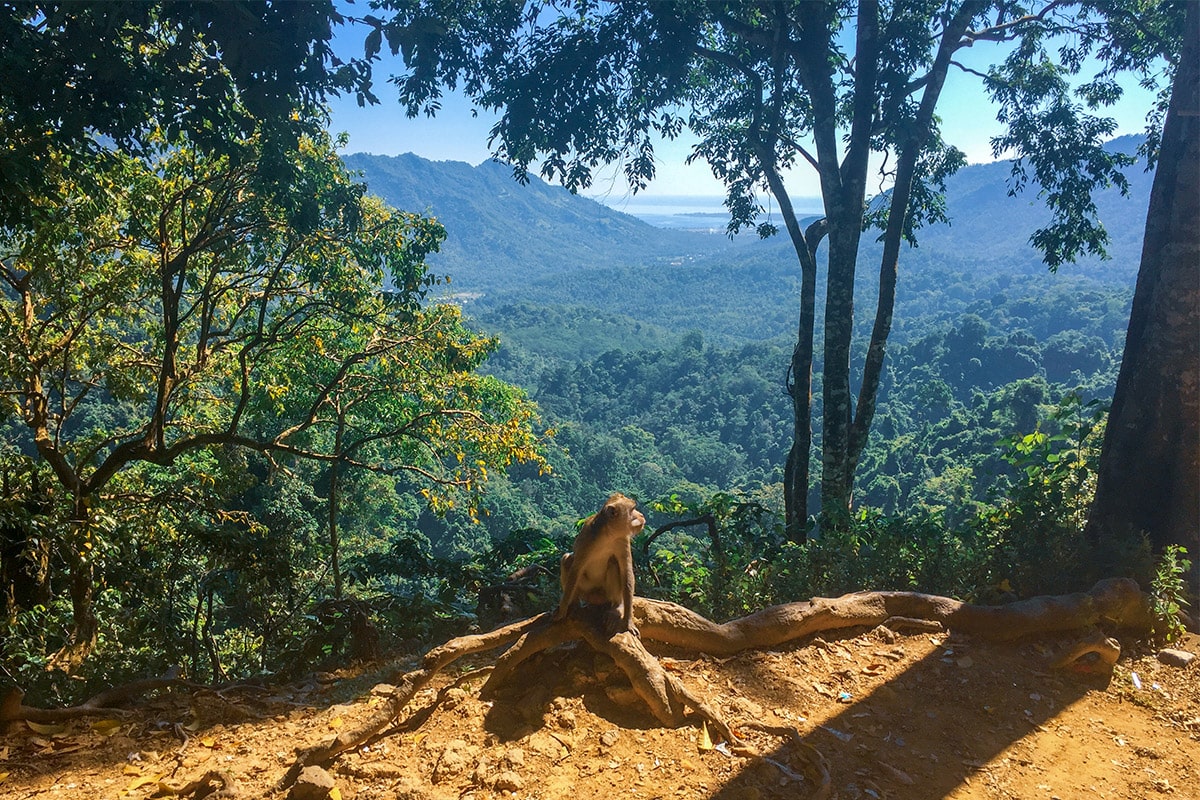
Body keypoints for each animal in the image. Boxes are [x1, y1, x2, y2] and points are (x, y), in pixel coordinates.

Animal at [554, 491, 648, 633]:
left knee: (613, 563)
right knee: (567, 560)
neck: (608, 535)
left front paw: (628, 621)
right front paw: (563, 609)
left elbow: (626, 571)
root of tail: (596, 598)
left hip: (605, 594)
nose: (641, 515)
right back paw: (574, 604)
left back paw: (617, 605)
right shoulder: (588, 537)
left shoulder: (622, 539)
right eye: (632, 509)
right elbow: (576, 569)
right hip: (586, 590)